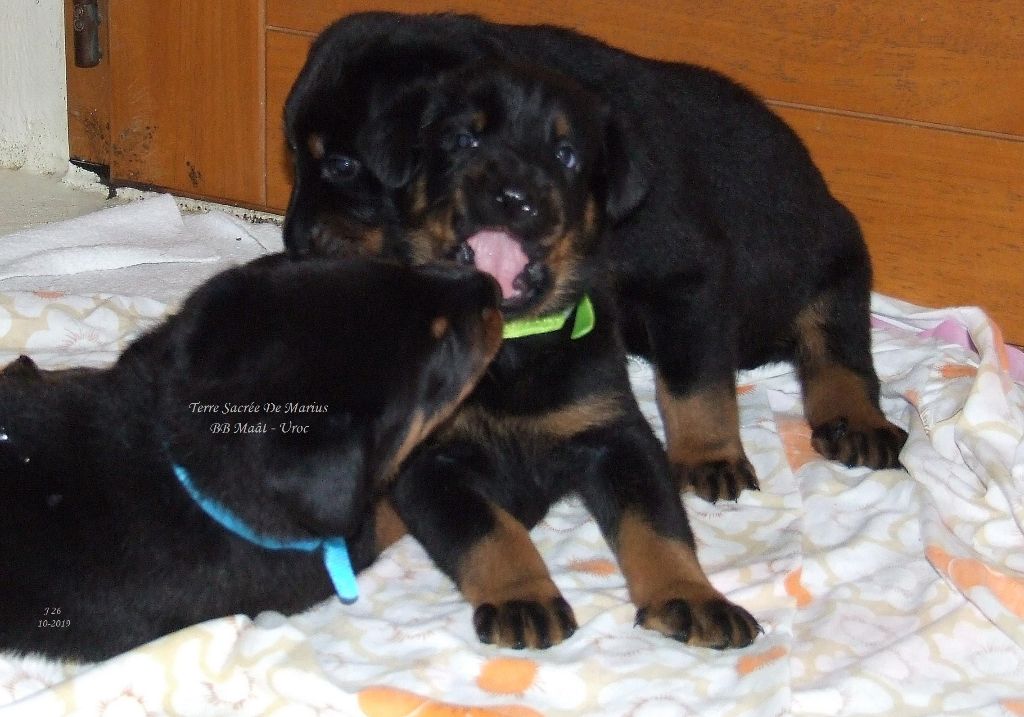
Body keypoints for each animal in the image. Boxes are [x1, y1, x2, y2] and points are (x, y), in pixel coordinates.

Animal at [0, 252, 499, 659]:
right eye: (442, 344)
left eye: (398, 269)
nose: (491, 283)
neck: (179, 462)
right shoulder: (321, 558)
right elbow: (382, 514)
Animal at [282, 12, 913, 503]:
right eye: (294, 159)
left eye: (341, 165)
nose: (292, 241)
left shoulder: (689, 277)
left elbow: (696, 385)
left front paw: (707, 457)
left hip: (834, 253)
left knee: (838, 347)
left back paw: (859, 422)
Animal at [354, 61, 761, 651]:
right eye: (462, 139)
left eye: (566, 155)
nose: (513, 196)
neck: (512, 348)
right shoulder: (428, 459)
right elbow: (491, 532)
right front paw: (523, 597)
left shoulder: (614, 434)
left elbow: (658, 526)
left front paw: (691, 596)